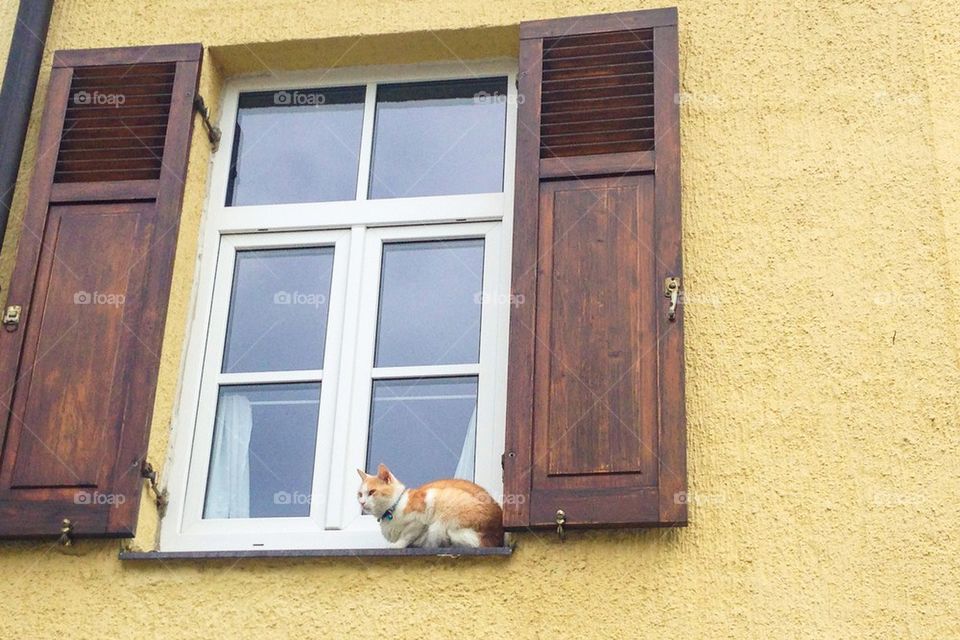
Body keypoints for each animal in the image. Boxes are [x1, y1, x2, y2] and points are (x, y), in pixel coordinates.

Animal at [358, 462, 506, 548]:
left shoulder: (424, 508)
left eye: (371, 492)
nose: (362, 503)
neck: (394, 507)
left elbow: (408, 534)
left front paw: (397, 545)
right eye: (359, 494)